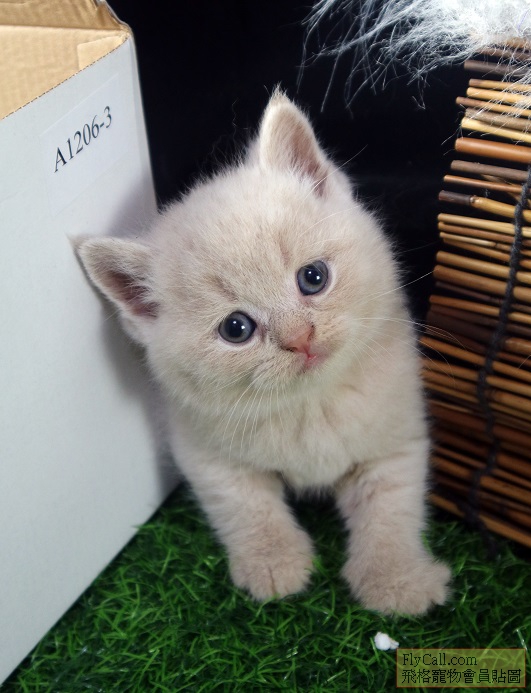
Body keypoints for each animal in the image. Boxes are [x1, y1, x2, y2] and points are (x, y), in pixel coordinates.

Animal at [77, 90, 450, 614]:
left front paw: (395, 578)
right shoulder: (201, 447)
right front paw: (274, 564)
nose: (300, 338)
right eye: (236, 329)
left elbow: (391, 508)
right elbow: (244, 503)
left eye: (313, 277)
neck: (310, 407)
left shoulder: (396, 437)